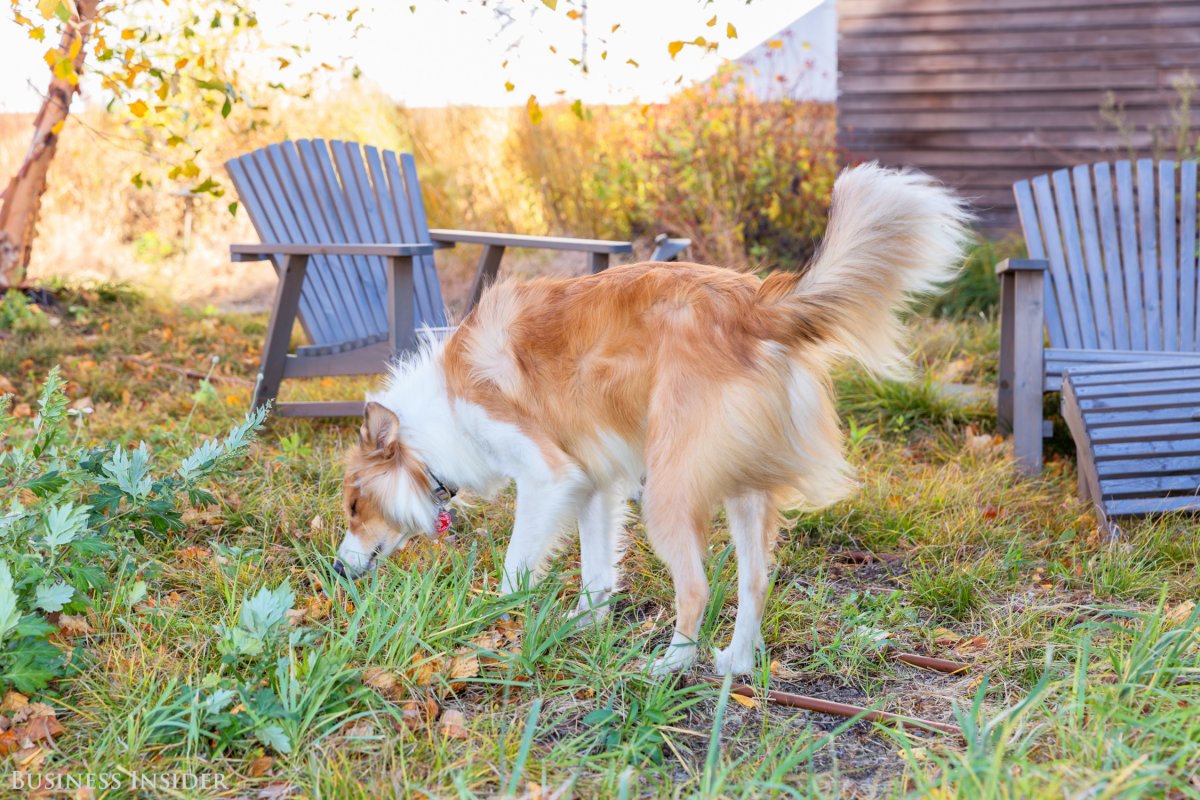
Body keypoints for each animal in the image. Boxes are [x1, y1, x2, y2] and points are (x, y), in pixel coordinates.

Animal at [333, 163, 969, 676]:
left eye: (354, 505)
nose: (337, 572)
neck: (436, 419)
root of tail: (755, 305)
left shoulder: (549, 476)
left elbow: (518, 565)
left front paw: (491, 619)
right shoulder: (592, 486)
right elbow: (596, 574)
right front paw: (582, 627)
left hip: (666, 490)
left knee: (697, 587)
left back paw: (670, 664)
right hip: (743, 491)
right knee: (754, 582)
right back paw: (735, 663)